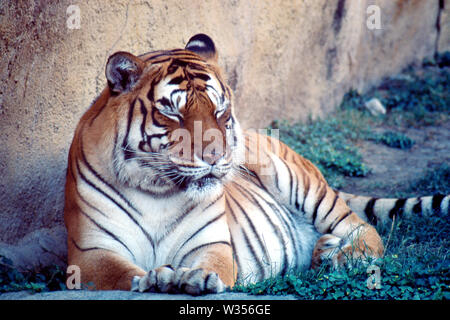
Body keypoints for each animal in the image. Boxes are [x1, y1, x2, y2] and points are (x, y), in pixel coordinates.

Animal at [64, 33, 450, 296]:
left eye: (220, 111)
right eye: (172, 112)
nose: (216, 157)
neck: (158, 191)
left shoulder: (212, 243)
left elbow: (210, 265)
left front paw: (194, 278)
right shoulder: (90, 254)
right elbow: (123, 274)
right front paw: (157, 278)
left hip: (302, 185)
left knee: (365, 231)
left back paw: (341, 257)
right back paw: (324, 251)